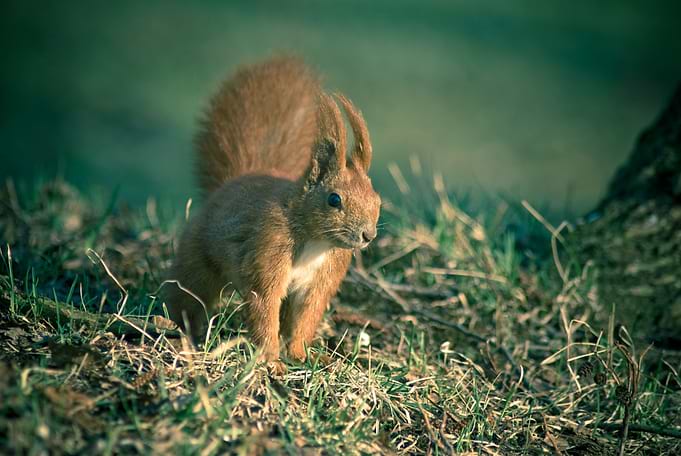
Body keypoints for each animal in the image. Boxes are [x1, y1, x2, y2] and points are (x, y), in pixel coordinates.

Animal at [165, 56, 381, 371]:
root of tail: (233, 182)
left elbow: (306, 315)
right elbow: (264, 305)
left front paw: (301, 355)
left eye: (378, 201)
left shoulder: (322, 278)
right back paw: (179, 329)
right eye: (334, 199)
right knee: (188, 293)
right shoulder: (268, 249)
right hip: (197, 258)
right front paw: (271, 361)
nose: (368, 235)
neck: (315, 241)